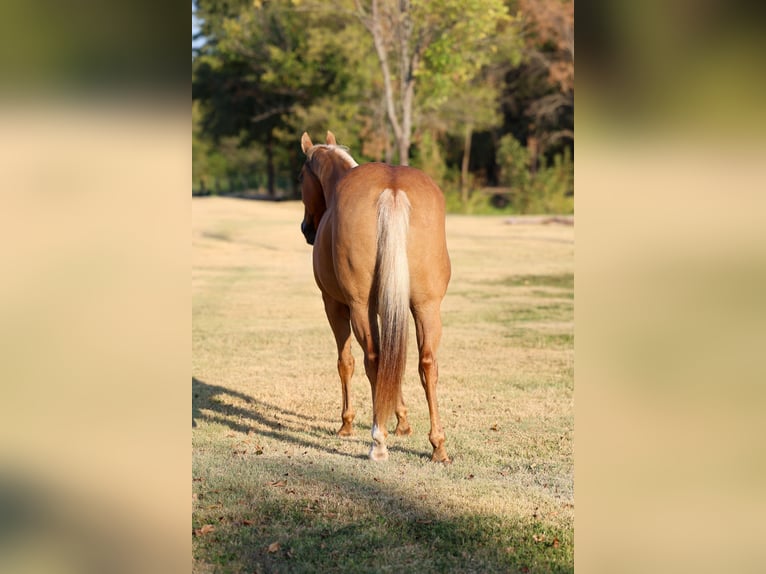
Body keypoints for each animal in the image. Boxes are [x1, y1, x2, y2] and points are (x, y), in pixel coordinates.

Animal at [299, 130, 451, 462]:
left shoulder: (335, 305)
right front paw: (403, 421)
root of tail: (391, 190)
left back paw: (378, 440)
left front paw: (347, 424)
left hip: (358, 308)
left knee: (373, 359)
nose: (306, 229)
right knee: (427, 363)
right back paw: (438, 445)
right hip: (427, 306)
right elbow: (396, 364)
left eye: (300, 177)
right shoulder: (390, 307)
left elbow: (347, 362)